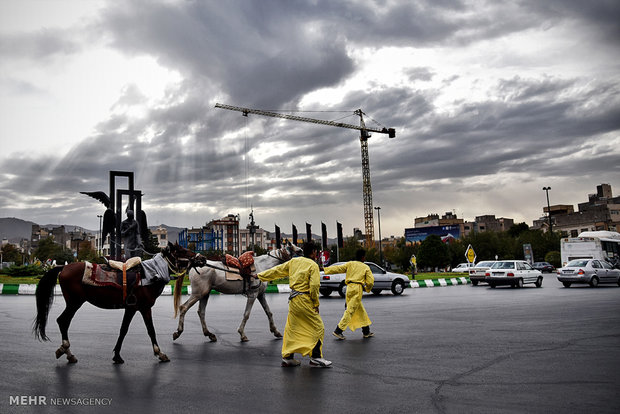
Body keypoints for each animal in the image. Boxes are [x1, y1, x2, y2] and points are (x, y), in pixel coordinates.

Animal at [32, 241, 203, 364]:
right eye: (182, 251)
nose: (202, 258)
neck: (151, 274)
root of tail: (63, 267)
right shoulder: (143, 307)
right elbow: (150, 330)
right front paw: (159, 353)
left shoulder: (131, 308)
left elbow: (123, 330)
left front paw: (117, 355)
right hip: (75, 302)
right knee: (63, 321)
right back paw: (66, 350)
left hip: (74, 302)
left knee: (63, 321)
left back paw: (67, 353)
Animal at [173, 241, 302, 342]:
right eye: (295, 248)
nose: (302, 252)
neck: (262, 266)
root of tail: (193, 265)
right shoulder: (253, 295)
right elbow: (246, 314)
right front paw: (242, 334)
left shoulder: (260, 294)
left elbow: (268, 312)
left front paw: (275, 331)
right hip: (198, 293)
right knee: (183, 307)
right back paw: (178, 332)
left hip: (205, 293)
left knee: (201, 312)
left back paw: (209, 334)